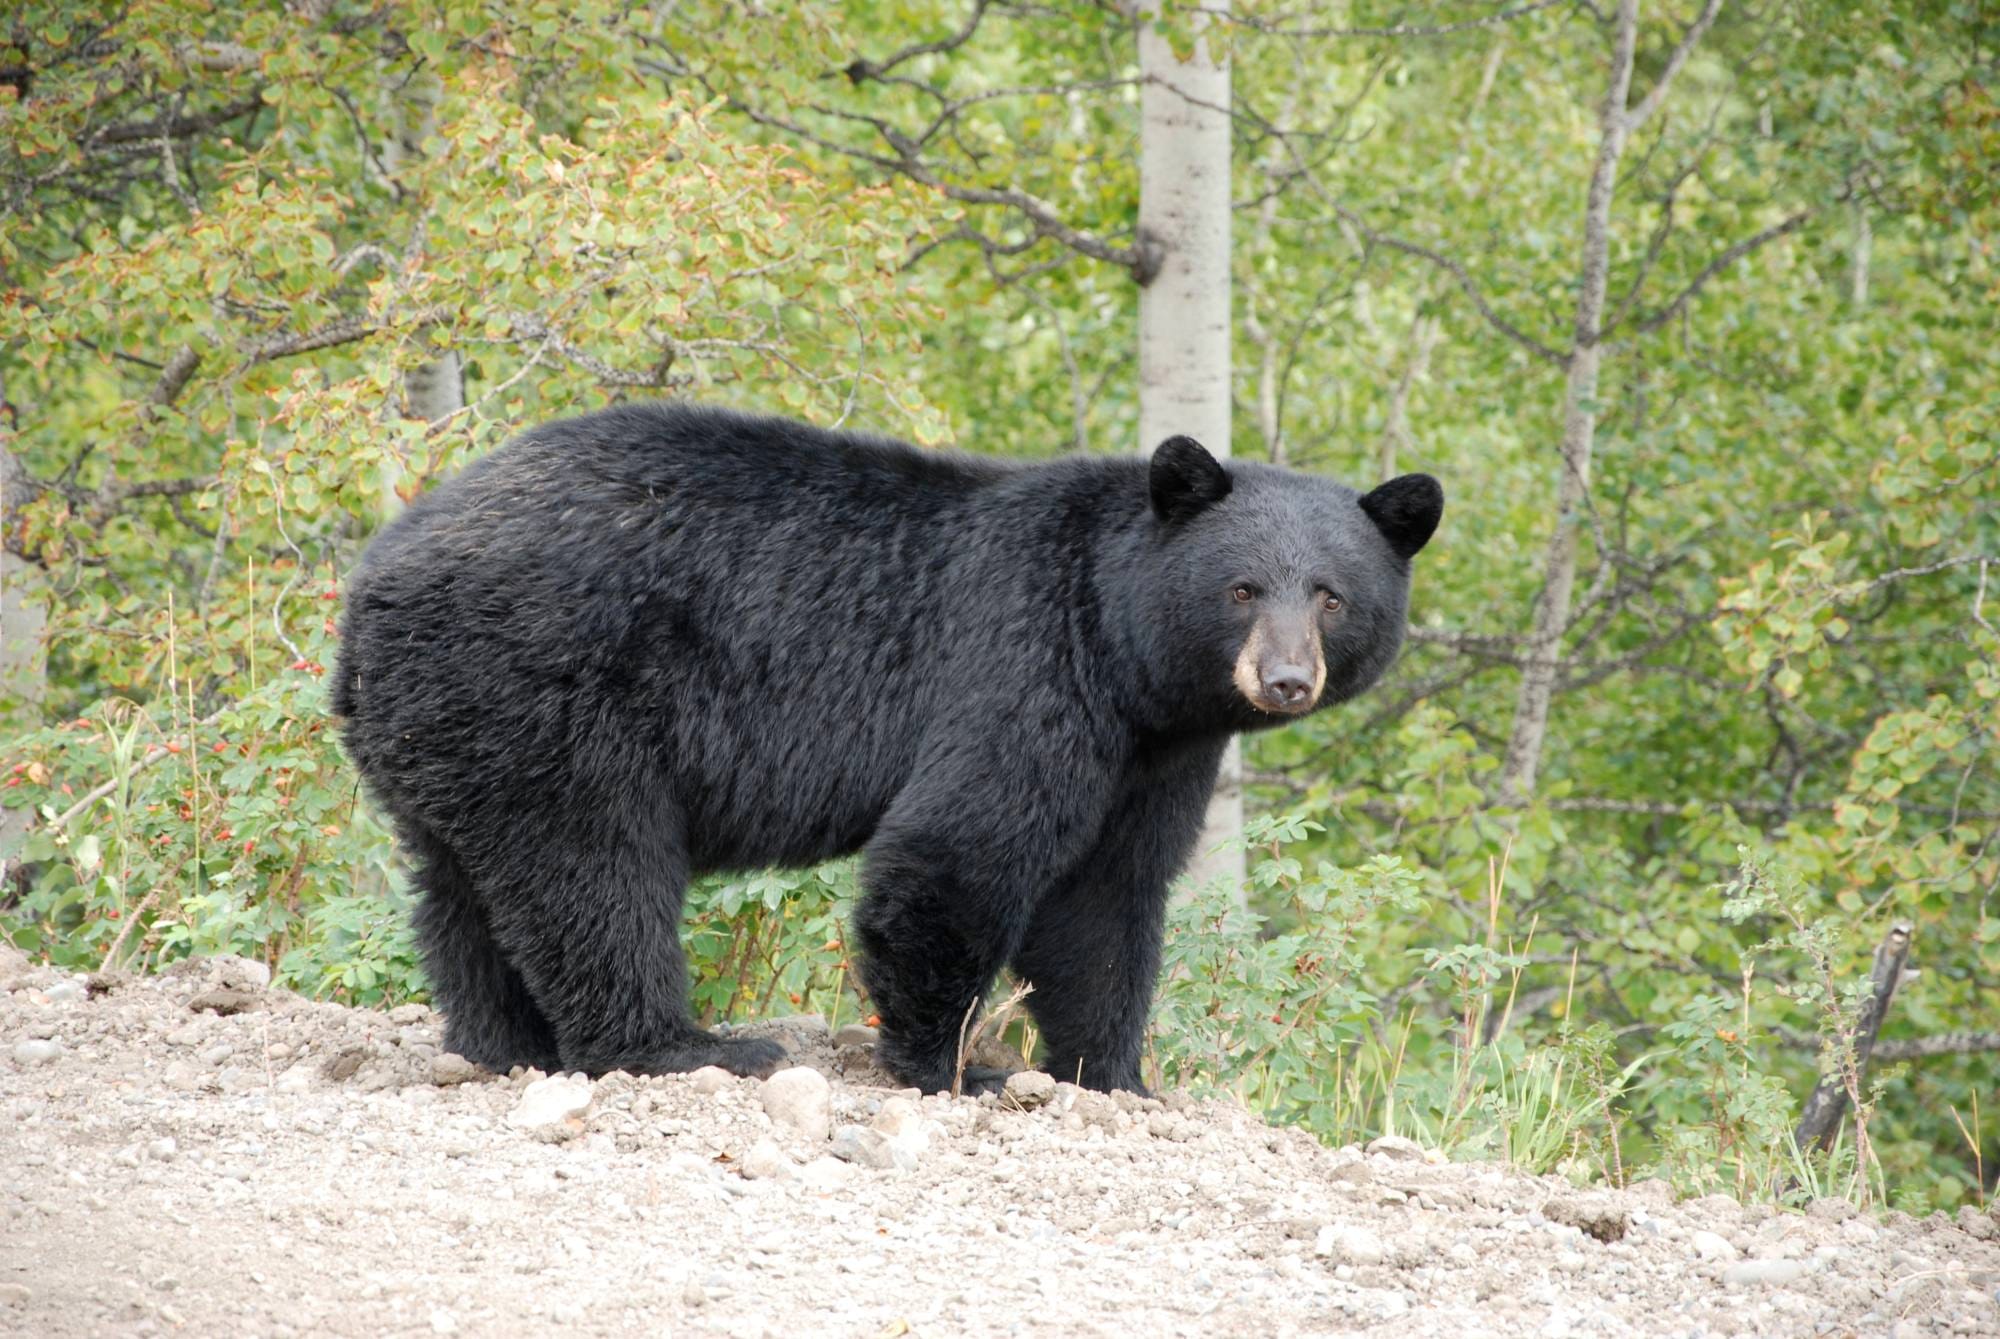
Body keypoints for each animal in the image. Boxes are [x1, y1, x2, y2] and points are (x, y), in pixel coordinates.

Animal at [333, 403, 1441, 1094]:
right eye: (1242, 587)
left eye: (1331, 595)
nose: (1285, 679)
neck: (1124, 652)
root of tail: (374, 580)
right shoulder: (1024, 665)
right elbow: (957, 851)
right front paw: (955, 1065)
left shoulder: (1155, 752)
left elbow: (1108, 897)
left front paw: (1112, 1073)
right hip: (550, 688)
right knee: (592, 869)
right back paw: (681, 1046)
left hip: (450, 722)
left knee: (463, 889)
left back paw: (502, 1042)